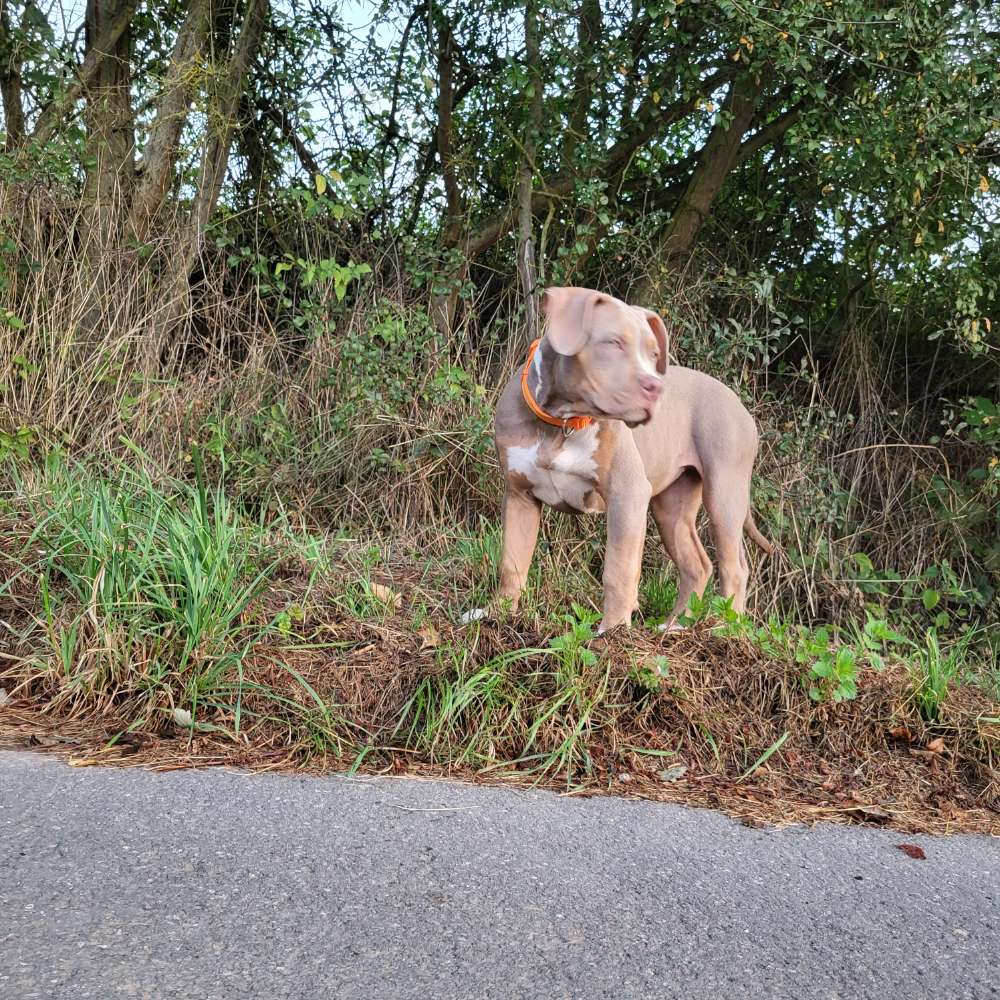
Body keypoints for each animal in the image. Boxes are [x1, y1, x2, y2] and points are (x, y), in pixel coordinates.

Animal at [468, 286, 772, 636]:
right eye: (613, 343)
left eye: (654, 354)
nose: (657, 387)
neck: (562, 422)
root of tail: (739, 403)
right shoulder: (519, 496)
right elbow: (512, 561)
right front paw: (497, 615)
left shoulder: (627, 493)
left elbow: (618, 568)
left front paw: (611, 631)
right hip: (672, 506)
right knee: (697, 563)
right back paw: (674, 626)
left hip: (724, 491)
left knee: (734, 565)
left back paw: (725, 629)